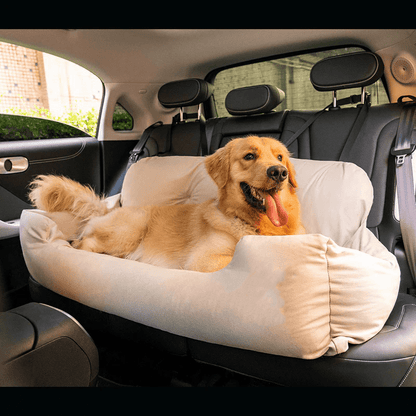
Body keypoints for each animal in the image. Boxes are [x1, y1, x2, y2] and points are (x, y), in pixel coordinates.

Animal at [28, 136, 302, 272]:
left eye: (280, 157)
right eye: (249, 156)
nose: (279, 172)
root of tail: (105, 209)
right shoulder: (203, 260)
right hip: (131, 228)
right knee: (82, 244)